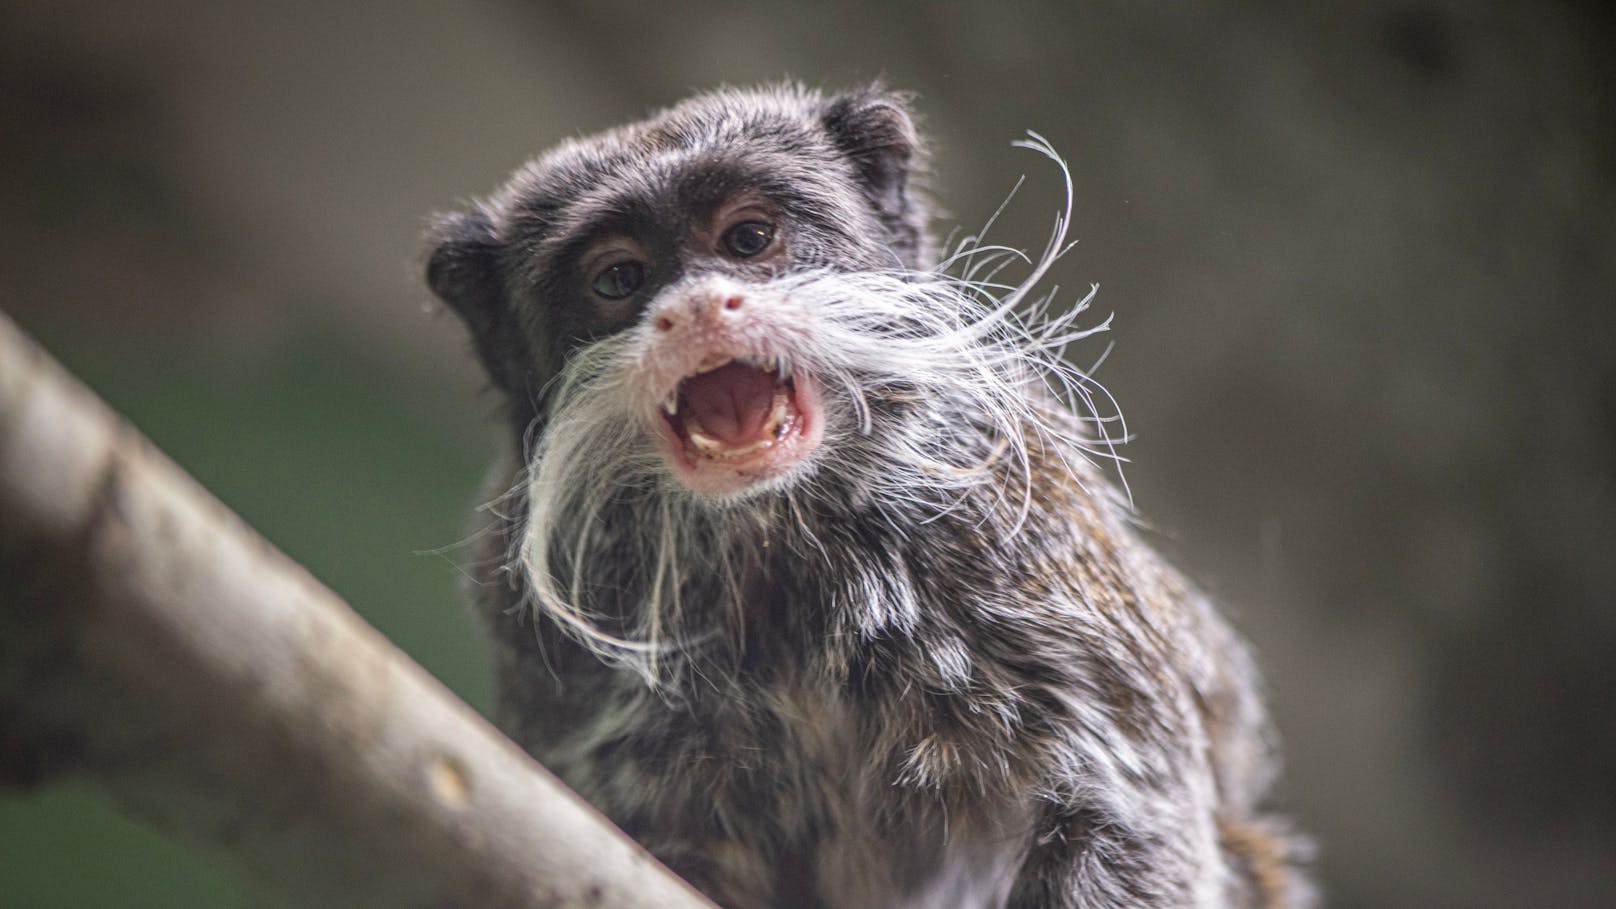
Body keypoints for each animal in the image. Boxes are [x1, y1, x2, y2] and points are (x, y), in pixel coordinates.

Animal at [423, 84, 1305, 905]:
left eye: (748, 239)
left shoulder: (1031, 551)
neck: (778, 539)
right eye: (619, 278)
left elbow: (1123, 805)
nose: (697, 306)